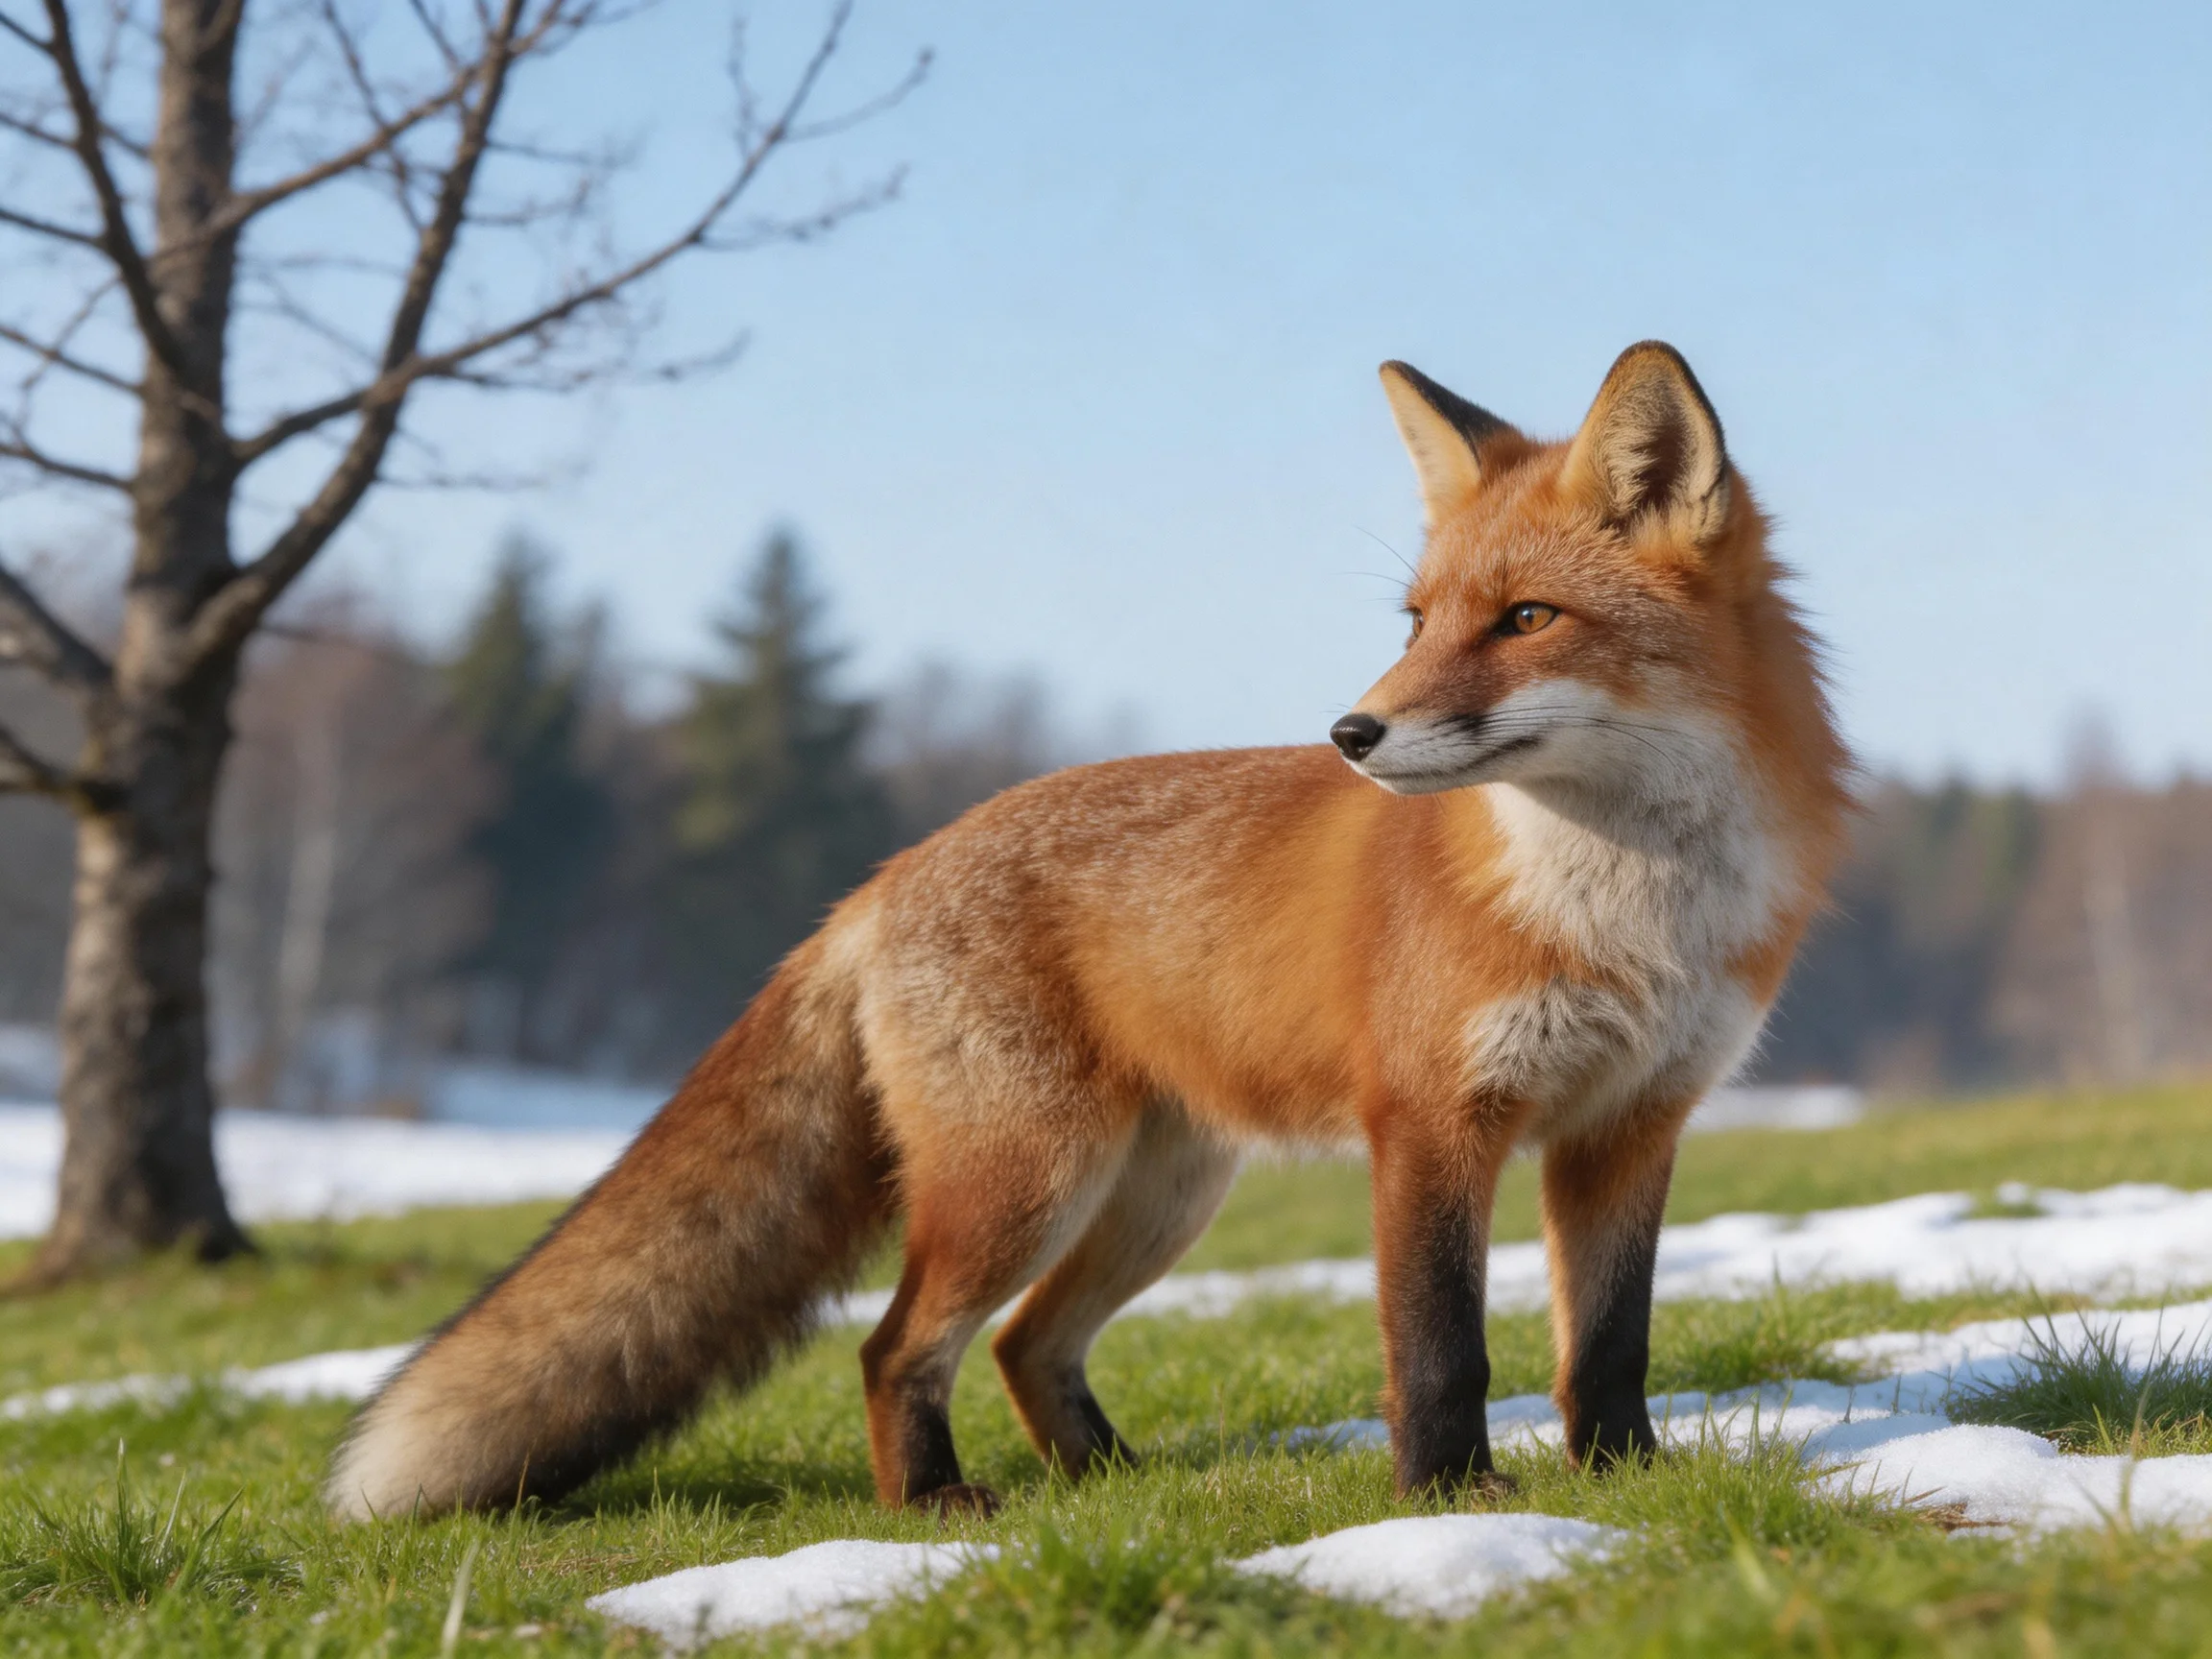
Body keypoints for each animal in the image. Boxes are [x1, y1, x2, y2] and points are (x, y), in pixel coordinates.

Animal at [328, 341, 1849, 1521]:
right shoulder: (1432, 1123)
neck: (1629, 911)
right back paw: (935, 1502)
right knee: (897, 1347)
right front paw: (1449, 1501)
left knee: (1021, 1346)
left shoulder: (1631, 1125)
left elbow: (1610, 1344)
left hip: (1158, 1195)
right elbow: (1442, 1349)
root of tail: (882, 879)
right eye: (1418, 620)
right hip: (1028, 1181)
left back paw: (1116, 1487)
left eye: (1527, 618)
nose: (1351, 733)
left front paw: (1625, 1483)